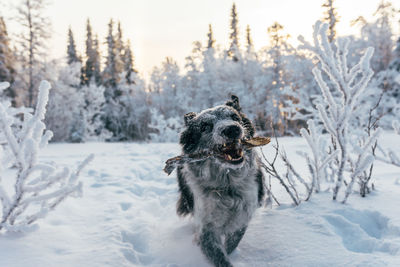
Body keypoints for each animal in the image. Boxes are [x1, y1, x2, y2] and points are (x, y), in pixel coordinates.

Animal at [176, 95, 264, 266]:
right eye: (205, 127)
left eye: (235, 117)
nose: (232, 129)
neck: (227, 185)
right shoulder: (206, 227)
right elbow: (219, 256)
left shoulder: (242, 218)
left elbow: (231, 244)